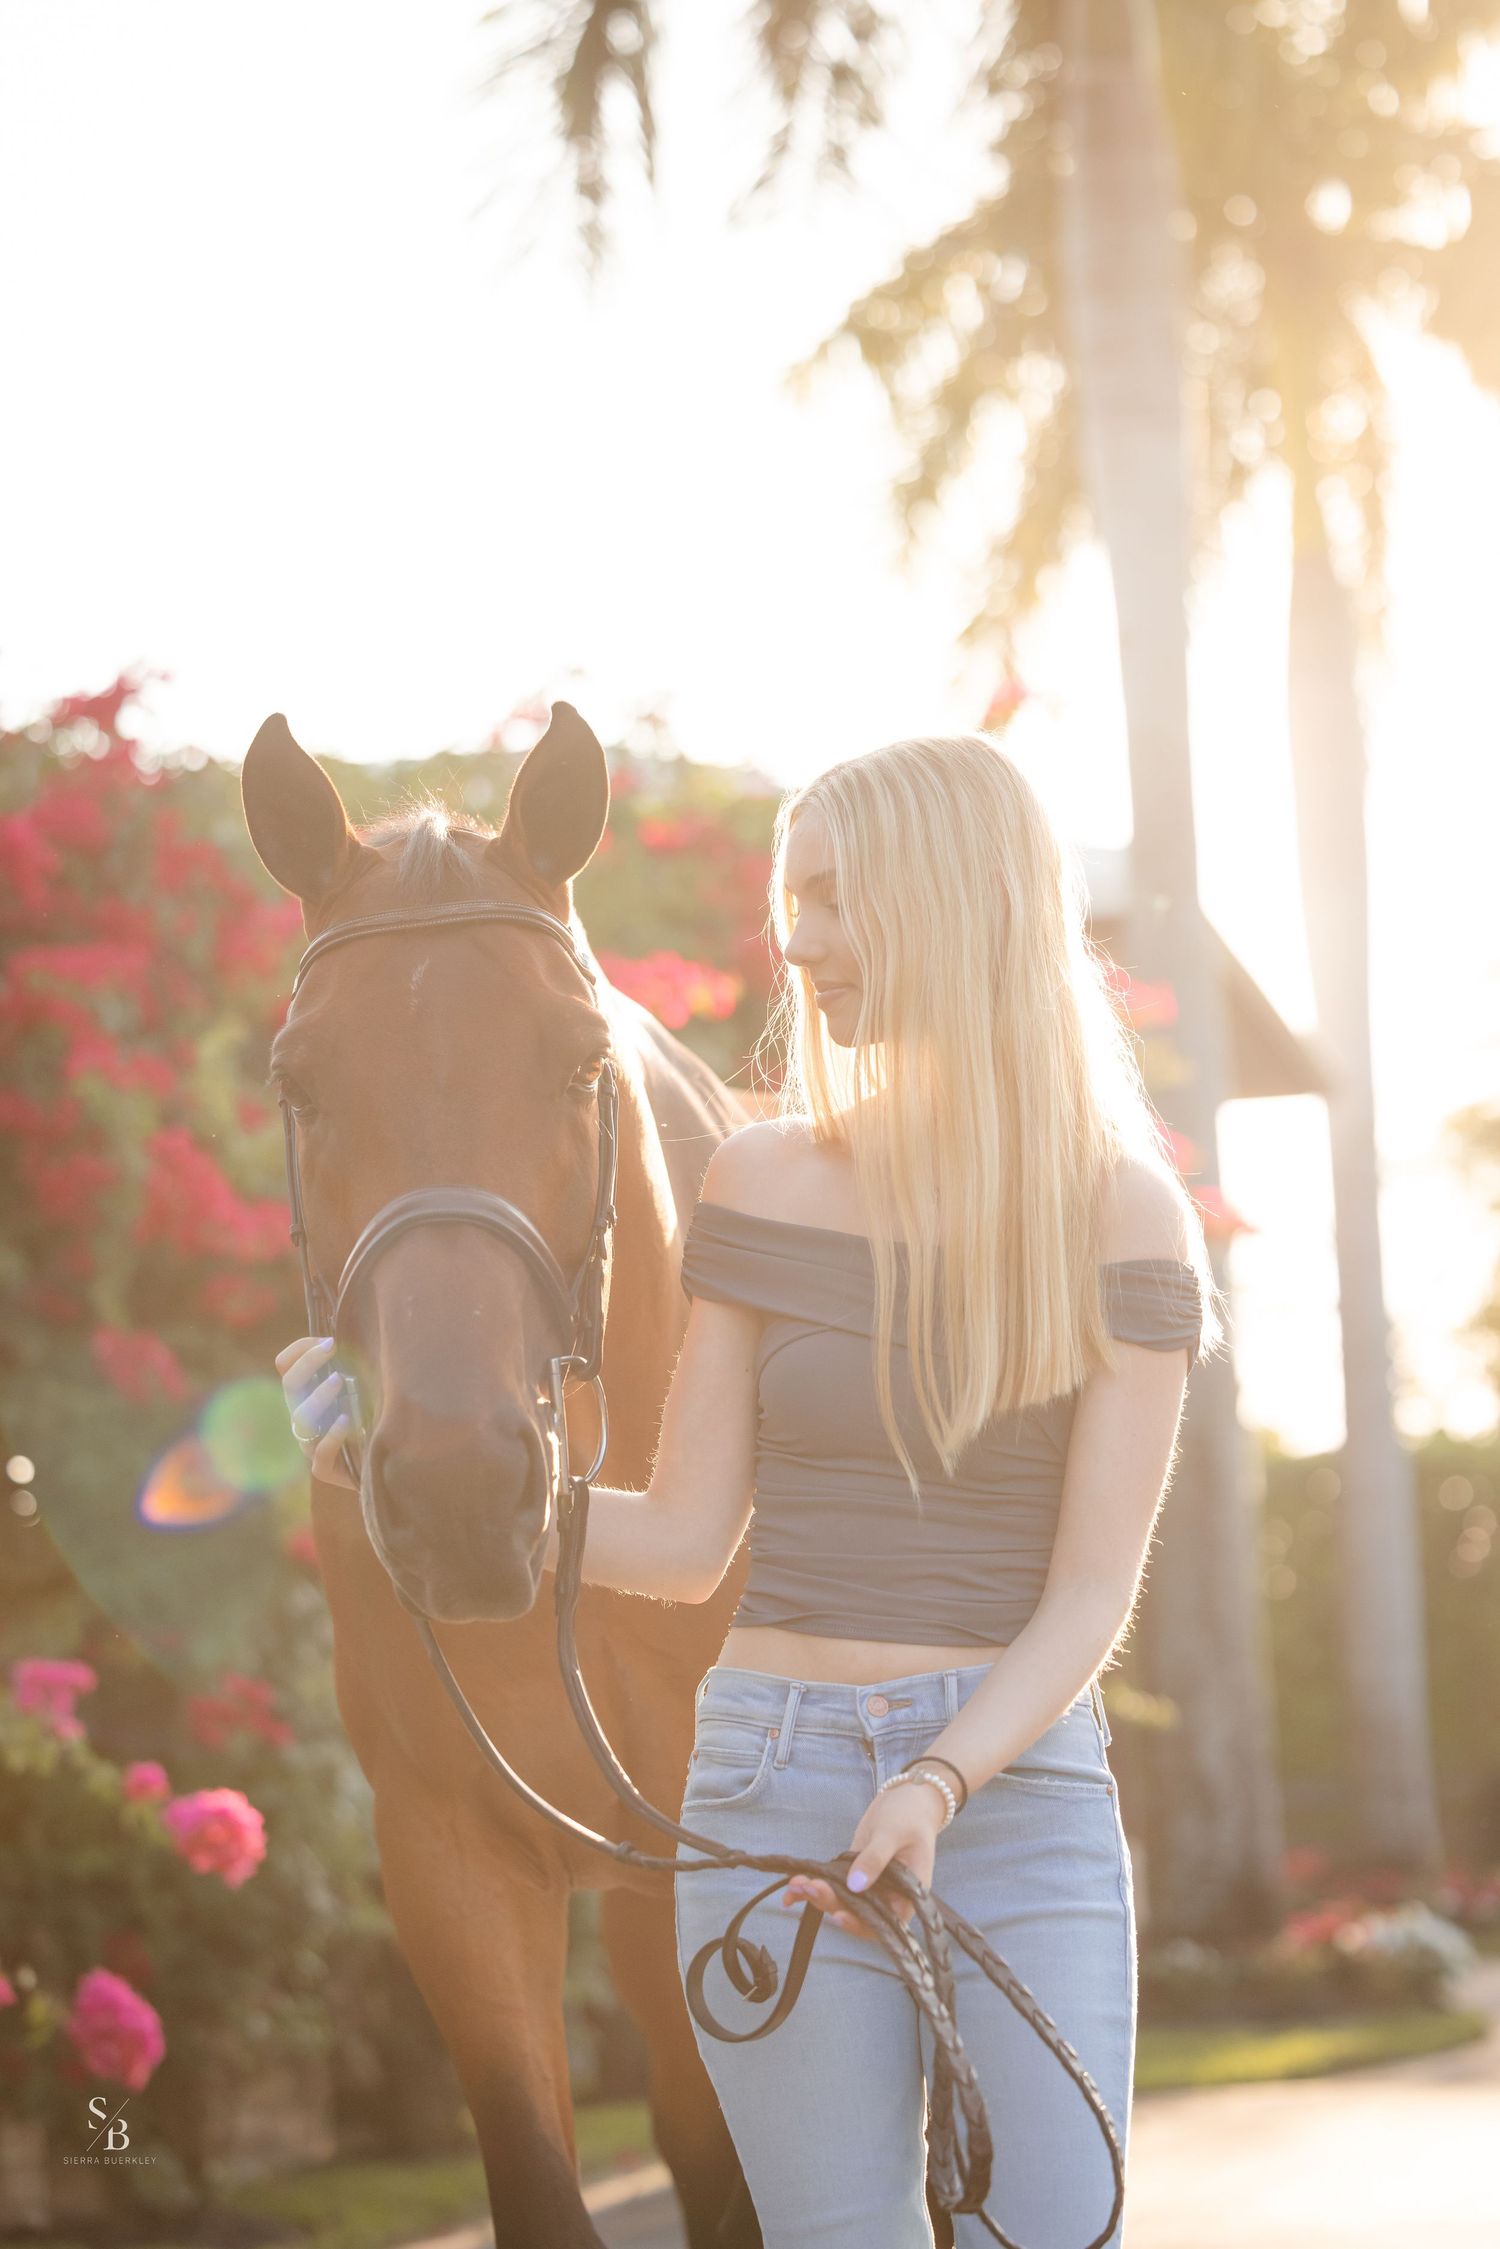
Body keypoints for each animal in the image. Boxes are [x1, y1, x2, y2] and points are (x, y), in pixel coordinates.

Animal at [240, 701, 764, 2247]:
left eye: (582, 1066)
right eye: (298, 1083)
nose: (463, 1496)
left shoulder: (685, 1869)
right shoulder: (448, 1861)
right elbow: (540, 2172)